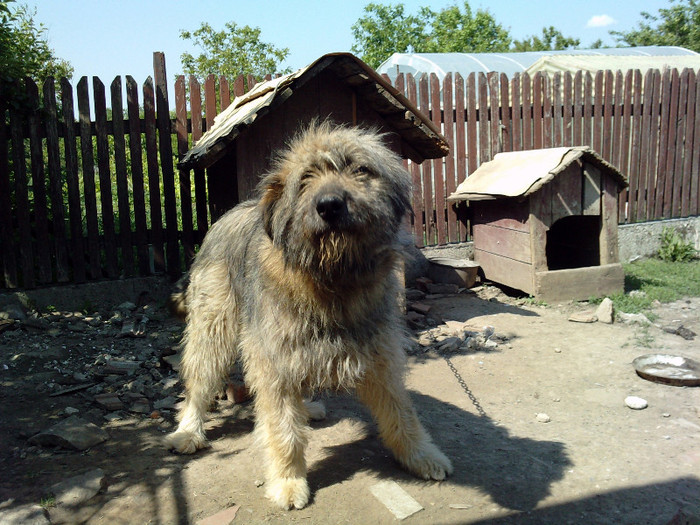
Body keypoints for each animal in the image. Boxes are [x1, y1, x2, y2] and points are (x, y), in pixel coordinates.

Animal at [165, 122, 454, 508]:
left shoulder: (379, 352)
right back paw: (188, 430)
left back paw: (306, 408)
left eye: (359, 169)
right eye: (306, 178)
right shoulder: (272, 359)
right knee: (200, 379)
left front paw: (420, 454)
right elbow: (283, 429)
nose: (329, 206)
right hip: (214, 326)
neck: (331, 278)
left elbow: (401, 410)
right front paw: (288, 481)